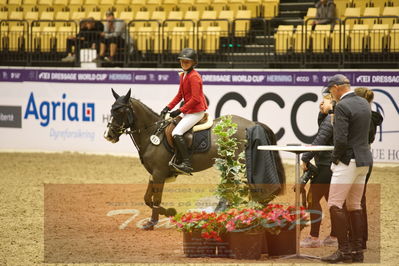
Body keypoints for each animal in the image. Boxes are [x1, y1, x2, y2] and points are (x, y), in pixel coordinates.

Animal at [104, 89, 286, 229]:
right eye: (111, 110)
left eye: (120, 111)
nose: (109, 135)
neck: (152, 134)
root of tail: (253, 123)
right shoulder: (153, 174)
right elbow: (147, 198)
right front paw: (169, 212)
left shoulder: (159, 173)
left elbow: (155, 199)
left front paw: (152, 222)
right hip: (229, 165)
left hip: (241, 164)